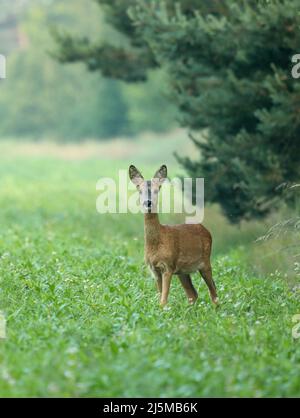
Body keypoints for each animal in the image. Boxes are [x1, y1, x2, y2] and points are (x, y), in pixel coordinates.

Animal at [129, 164, 218, 306]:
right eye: (139, 190)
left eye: (157, 190)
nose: (148, 202)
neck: (156, 243)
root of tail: (206, 230)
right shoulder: (154, 270)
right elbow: (160, 297)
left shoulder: (168, 266)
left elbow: (163, 300)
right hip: (183, 271)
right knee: (193, 295)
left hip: (205, 261)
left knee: (214, 293)